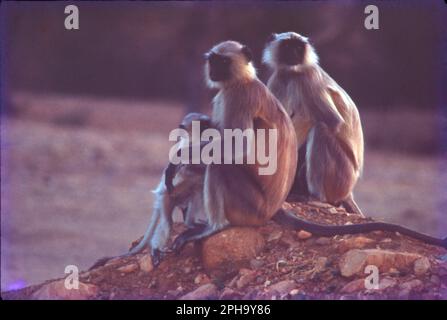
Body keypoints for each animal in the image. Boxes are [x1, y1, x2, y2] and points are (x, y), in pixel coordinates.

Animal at [266, 31, 364, 215]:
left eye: (298, 47)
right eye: (288, 46)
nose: (294, 54)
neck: (293, 73)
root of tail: (349, 191)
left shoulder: (308, 76)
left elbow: (333, 121)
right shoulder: (279, 77)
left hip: (342, 177)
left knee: (320, 130)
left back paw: (317, 198)